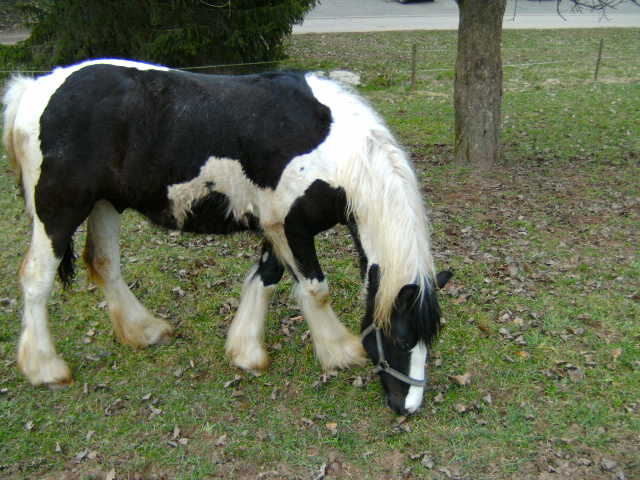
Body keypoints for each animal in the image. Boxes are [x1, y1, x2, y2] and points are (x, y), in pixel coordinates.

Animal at [1, 59, 450, 412]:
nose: (407, 407)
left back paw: (144, 331)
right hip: (58, 212)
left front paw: (246, 351)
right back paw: (45, 368)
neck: (336, 153)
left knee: (105, 265)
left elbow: (267, 278)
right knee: (37, 279)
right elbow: (315, 289)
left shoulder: (277, 226)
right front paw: (340, 351)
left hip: (105, 204)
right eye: (402, 337)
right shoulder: (291, 227)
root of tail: (34, 89)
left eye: (431, 336)